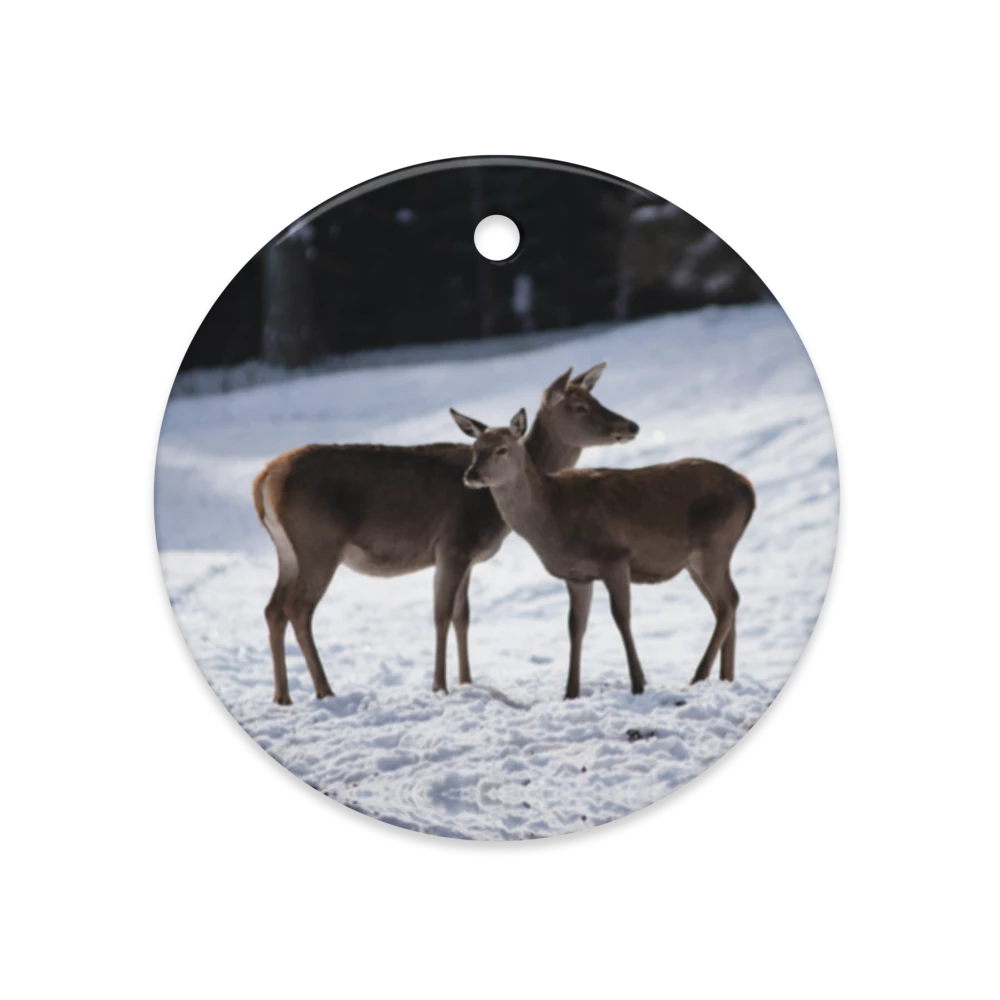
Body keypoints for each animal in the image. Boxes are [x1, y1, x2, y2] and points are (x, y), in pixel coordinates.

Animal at [252, 363, 639, 705]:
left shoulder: (468, 555)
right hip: (318, 543)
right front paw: (440, 686)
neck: (494, 513)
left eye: (595, 398)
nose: (631, 425)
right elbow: (440, 614)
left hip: (287, 551)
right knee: (298, 607)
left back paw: (283, 696)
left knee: (273, 609)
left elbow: (461, 615)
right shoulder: (452, 543)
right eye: (579, 407)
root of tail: (264, 480)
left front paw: (467, 681)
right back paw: (324, 690)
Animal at [449, 405, 756, 699]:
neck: (552, 520)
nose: (471, 475)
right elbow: (575, 626)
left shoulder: (615, 557)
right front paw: (570, 692)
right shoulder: (576, 576)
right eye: (475, 448)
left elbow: (621, 617)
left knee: (728, 602)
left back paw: (699, 676)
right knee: (725, 604)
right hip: (696, 561)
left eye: (501, 449)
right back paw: (725, 678)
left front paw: (638, 683)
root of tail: (749, 490)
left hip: (715, 544)